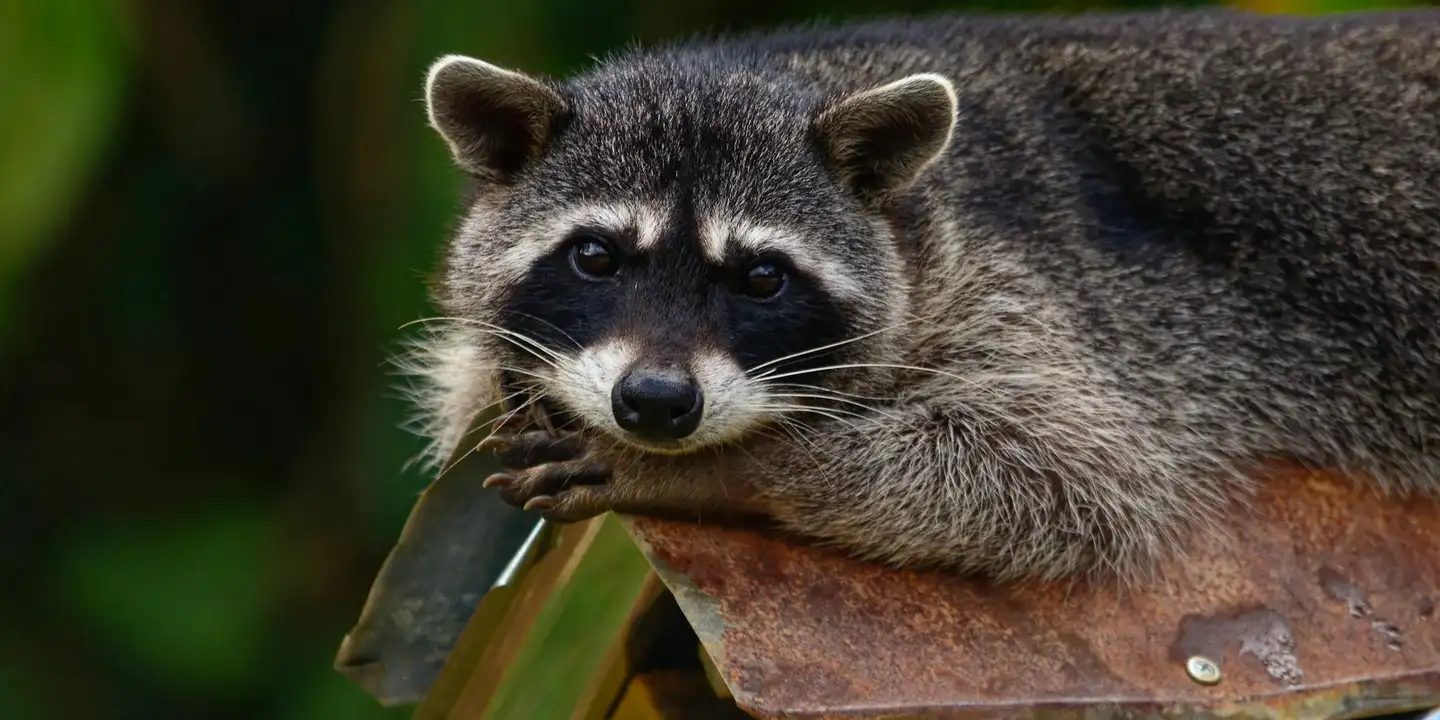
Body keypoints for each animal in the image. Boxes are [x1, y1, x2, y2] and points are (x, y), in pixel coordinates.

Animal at [407, 8, 1440, 583]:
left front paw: (731, 471)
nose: (657, 406)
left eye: (762, 277)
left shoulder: (1040, 294)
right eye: (596, 257)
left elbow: (1068, 474)